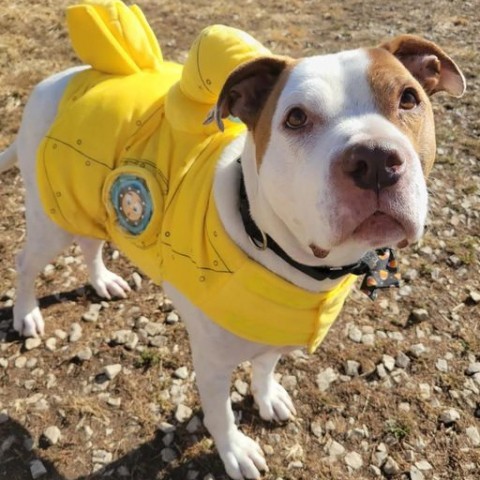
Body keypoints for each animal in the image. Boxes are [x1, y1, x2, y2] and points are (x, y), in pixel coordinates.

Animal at [0, 31, 464, 478]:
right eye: (296, 118)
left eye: (408, 98)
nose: (375, 159)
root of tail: (54, 81)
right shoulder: (212, 364)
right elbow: (220, 415)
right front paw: (235, 451)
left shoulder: (274, 325)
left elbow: (265, 367)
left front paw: (266, 397)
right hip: (52, 218)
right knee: (26, 264)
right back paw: (26, 315)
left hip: (86, 206)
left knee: (91, 242)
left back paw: (101, 281)